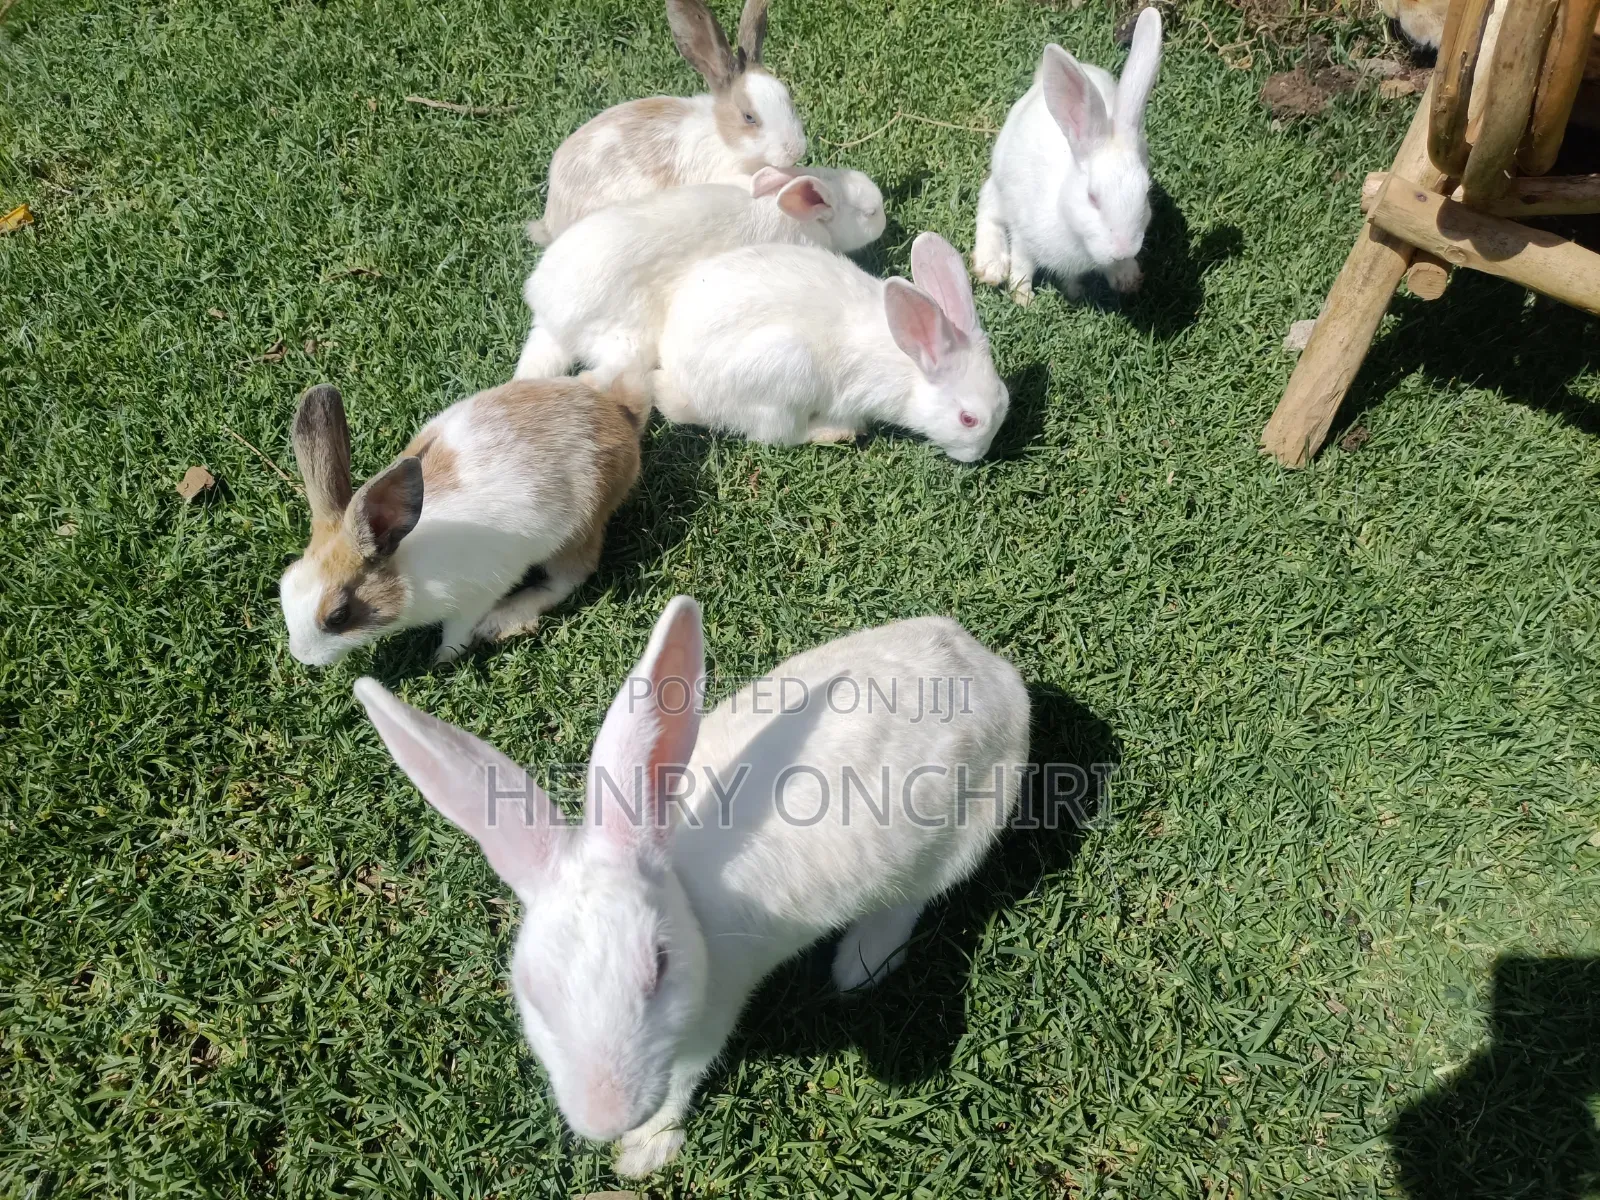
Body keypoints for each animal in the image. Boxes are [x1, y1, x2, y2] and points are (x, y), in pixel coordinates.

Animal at [279, 374, 645, 667]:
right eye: (283, 584)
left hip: (580, 528)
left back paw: (503, 618)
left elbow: (457, 630)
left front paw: (443, 659)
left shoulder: (474, 598)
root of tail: (618, 417)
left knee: (568, 579)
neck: (407, 570)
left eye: (338, 617)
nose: (303, 658)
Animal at [353, 595, 1030, 1176]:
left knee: (912, 901)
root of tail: (995, 673)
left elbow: (678, 1088)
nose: (604, 1116)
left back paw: (859, 965)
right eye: (533, 989)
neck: (686, 897)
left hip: (960, 833)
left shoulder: (706, 1024)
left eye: (659, 965)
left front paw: (643, 1151)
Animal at [651, 231, 1010, 462]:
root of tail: (686, 393)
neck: (912, 370)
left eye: (1005, 398)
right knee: (777, 435)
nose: (979, 456)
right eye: (968, 419)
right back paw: (834, 432)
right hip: (785, 374)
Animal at [973, 7, 1163, 304]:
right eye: (1092, 197)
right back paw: (991, 266)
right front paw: (1023, 297)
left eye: (1146, 193)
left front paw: (1123, 279)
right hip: (1000, 184)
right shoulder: (1024, 235)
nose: (1123, 249)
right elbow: (1023, 264)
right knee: (988, 209)